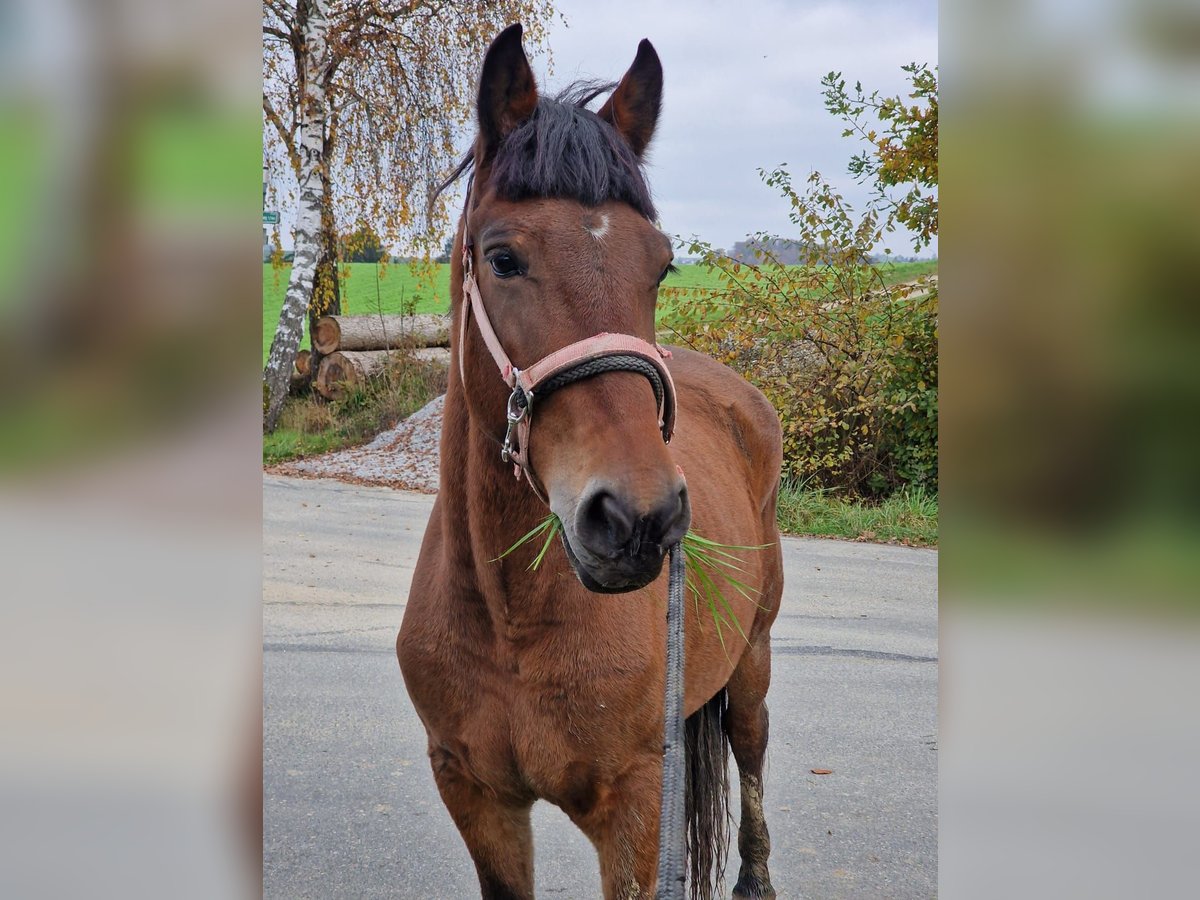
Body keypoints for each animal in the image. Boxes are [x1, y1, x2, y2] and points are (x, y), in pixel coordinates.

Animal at [398, 22, 782, 900]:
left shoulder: (636, 808)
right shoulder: (475, 796)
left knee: (750, 754)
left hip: (753, 660)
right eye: (502, 258)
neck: (511, 620)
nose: (639, 517)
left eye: (663, 265)